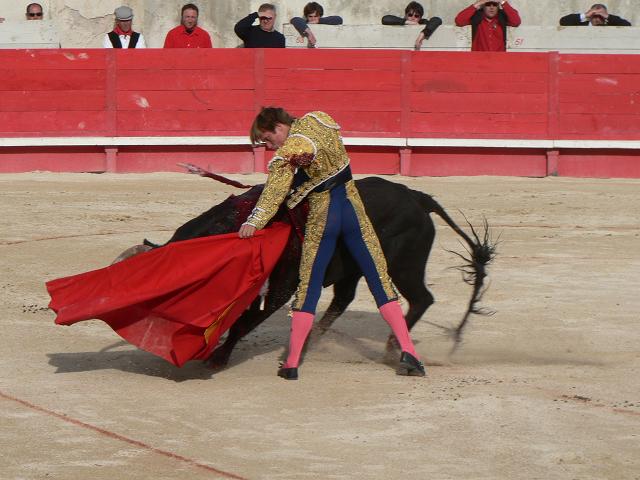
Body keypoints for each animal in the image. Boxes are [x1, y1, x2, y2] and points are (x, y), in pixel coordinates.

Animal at [117, 168, 495, 368]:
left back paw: (392, 349)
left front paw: (218, 356)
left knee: (420, 298)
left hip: (403, 265)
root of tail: (417, 196)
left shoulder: (280, 289)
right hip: (354, 269)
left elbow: (243, 323)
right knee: (343, 299)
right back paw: (309, 342)